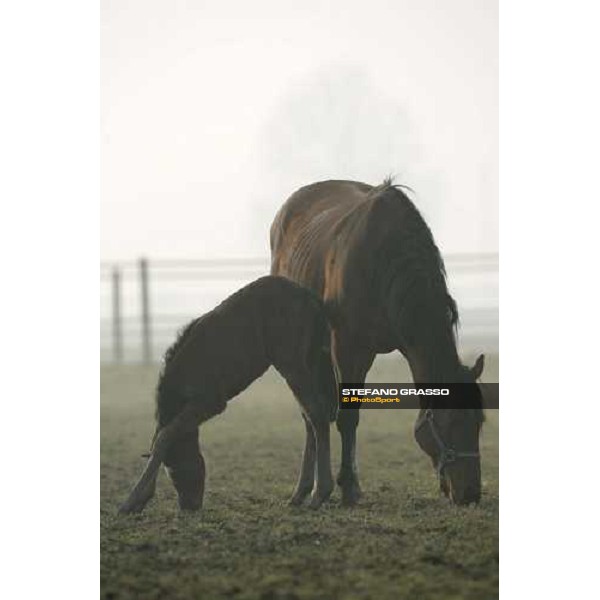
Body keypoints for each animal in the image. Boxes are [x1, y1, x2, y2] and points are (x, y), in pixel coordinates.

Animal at [118, 276, 338, 516]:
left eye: (175, 468)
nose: (189, 506)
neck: (185, 369)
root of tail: (310, 297)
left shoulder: (210, 402)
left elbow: (164, 436)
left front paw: (133, 500)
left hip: (292, 365)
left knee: (316, 414)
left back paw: (319, 493)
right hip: (308, 364)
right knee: (309, 418)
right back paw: (299, 494)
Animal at [272, 178, 488, 506]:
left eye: (479, 421)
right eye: (450, 421)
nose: (470, 494)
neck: (382, 260)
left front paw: (353, 484)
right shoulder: (348, 348)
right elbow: (347, 417)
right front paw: (347, 487)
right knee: (311, 414)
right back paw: (304, 489)